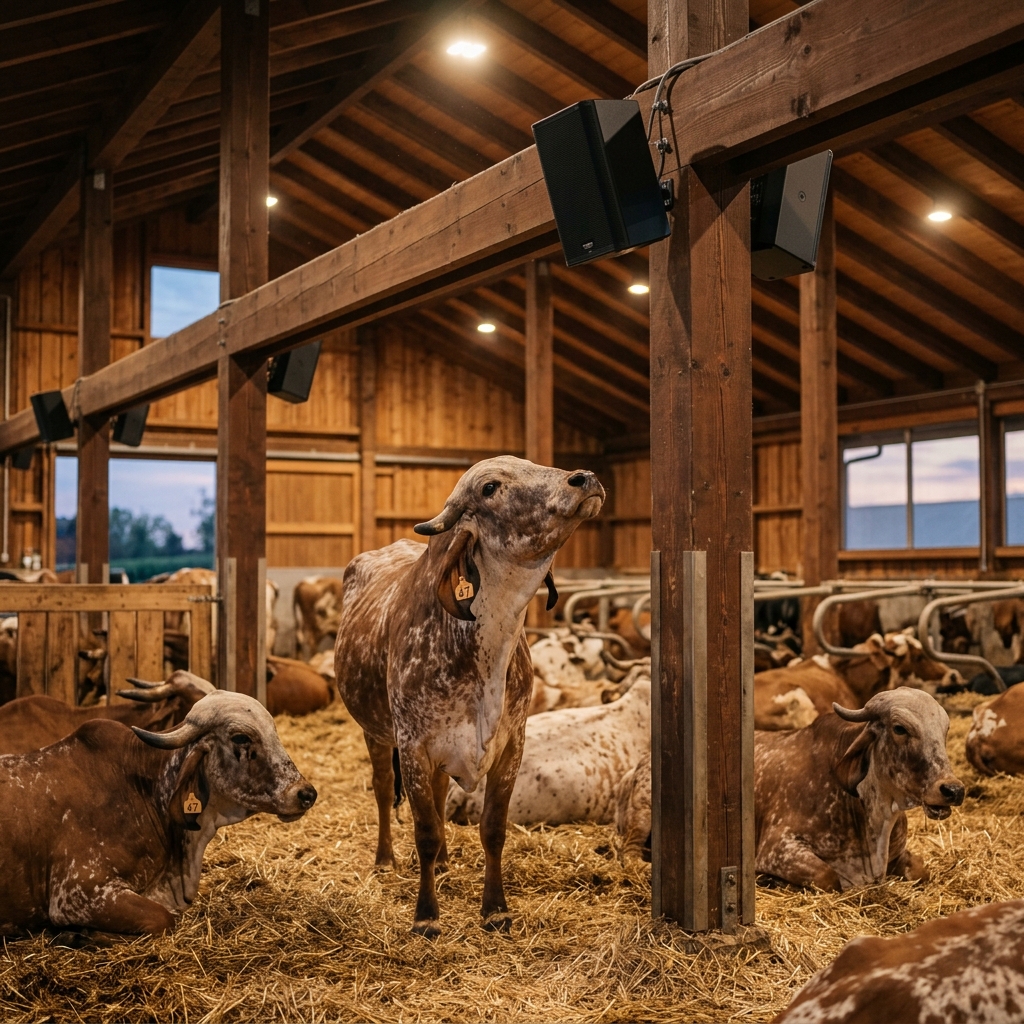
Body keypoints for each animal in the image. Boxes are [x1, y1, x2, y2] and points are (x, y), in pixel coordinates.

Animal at [334, 456, 604, 937]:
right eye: (490, 487)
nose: (584, 478)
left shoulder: (510, 747)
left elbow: (492, 829)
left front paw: (495, 909)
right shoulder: (414, 747)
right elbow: (423, 830)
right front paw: (426, 916)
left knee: (440, 796)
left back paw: (443, 863)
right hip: (376, 734)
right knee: (384, 792)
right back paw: (385, 860)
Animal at [754, 690, 964, 891]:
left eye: (945, 730)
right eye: (899, 728)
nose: (953, 790)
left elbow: (920, 870)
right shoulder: (777, 849)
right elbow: (827, 876)